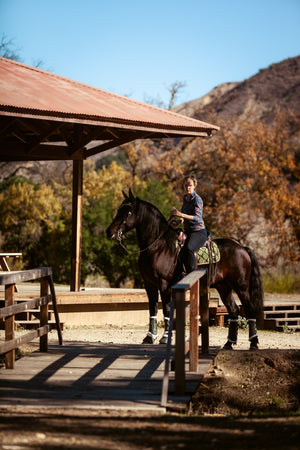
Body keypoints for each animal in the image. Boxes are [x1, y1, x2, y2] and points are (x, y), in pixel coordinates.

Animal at [105, 188, 262, 350]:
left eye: (128, 212)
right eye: (119, 210)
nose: (109, 232)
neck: (158, 246)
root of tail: (242, 248)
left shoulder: (164, 284)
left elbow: (166, 309)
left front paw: (165, 337)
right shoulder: (149, 284)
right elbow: (152, 310)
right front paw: (149, 337)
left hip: (241, 286)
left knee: (249, 309)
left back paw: (253, 343)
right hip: (224, 287)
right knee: (234, 311)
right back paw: (229, 343)